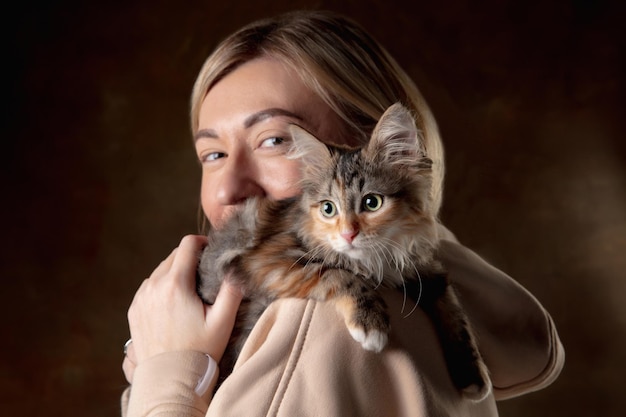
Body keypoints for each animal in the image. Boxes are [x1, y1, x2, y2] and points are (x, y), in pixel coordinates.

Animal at [197, 102, 490, 398]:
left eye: (372, 203)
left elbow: (455, 313)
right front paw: (371, 324)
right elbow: (341, 275)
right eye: (329, 208)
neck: (377, 261)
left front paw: (472, 374)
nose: (348, 234)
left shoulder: (424, 270)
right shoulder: (269, 261)